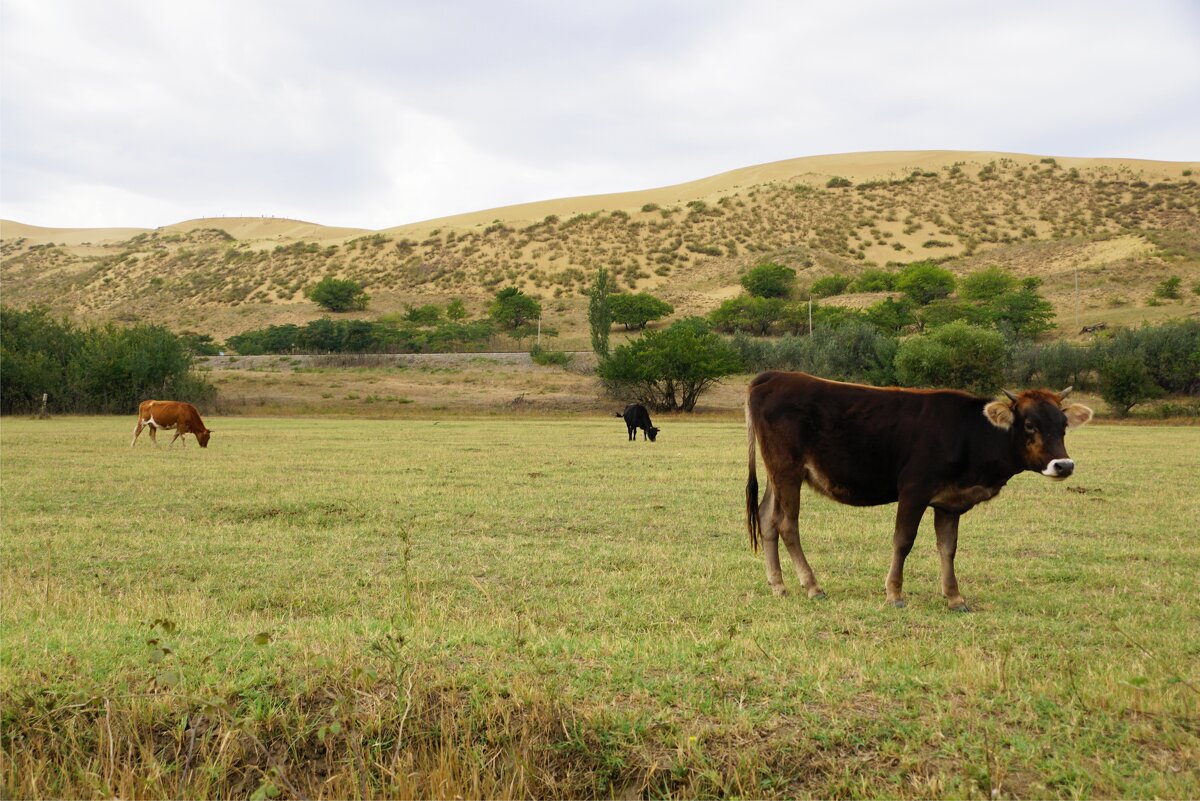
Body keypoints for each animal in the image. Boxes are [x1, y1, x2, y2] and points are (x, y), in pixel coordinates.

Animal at [739, 371, 1089, 609]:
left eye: (1063, 426)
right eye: (1030, 424)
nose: (1063, 465)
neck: (969, 432)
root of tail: (775, 376)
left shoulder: (949, 502)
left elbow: (948, 547)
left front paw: (954, 596)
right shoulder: (913, 490)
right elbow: (903, 540)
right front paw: (894, 592)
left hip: (779, 473)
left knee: (767, 519)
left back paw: (778, 585)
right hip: (787, 469)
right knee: (787, 524)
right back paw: (812, 586)